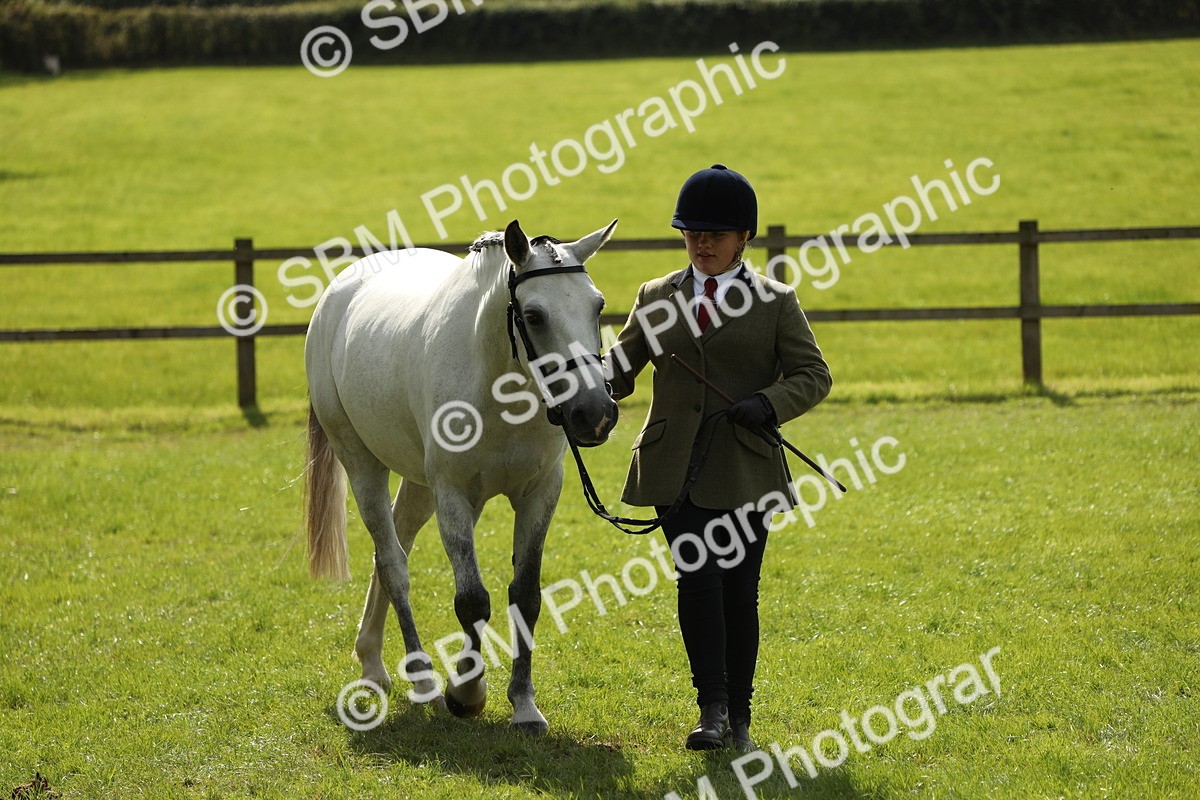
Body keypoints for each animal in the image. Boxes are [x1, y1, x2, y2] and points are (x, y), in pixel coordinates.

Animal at [303, 218, 619, 733]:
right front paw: (467, 693)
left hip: (418, 484)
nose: (595, 413)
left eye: (598, 306)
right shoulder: (452, 494)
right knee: (394, 565)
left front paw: (524, 706)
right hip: (363, 464)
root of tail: (339, 290)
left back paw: (371, 660)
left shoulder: (539, 493)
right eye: (534, 316)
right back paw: (423, 680)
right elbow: (472, 599)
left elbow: (525, 596)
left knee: (392, 550)